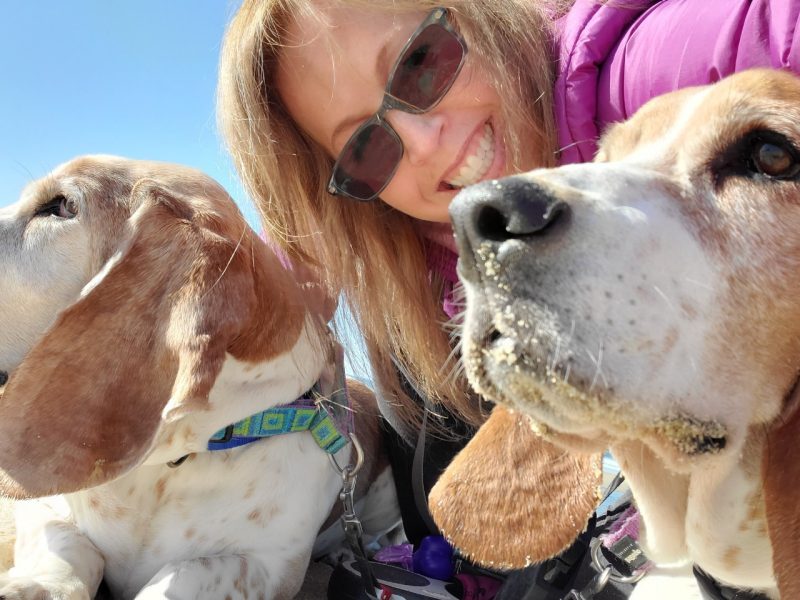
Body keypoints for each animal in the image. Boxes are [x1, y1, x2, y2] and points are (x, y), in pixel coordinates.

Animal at [0, 156, 396, 600]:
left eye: (62, 206)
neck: (168, 466)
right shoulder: (42, 508)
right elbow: (69, 549)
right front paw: (31, 587)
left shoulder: (270, 567)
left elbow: (182, 575)